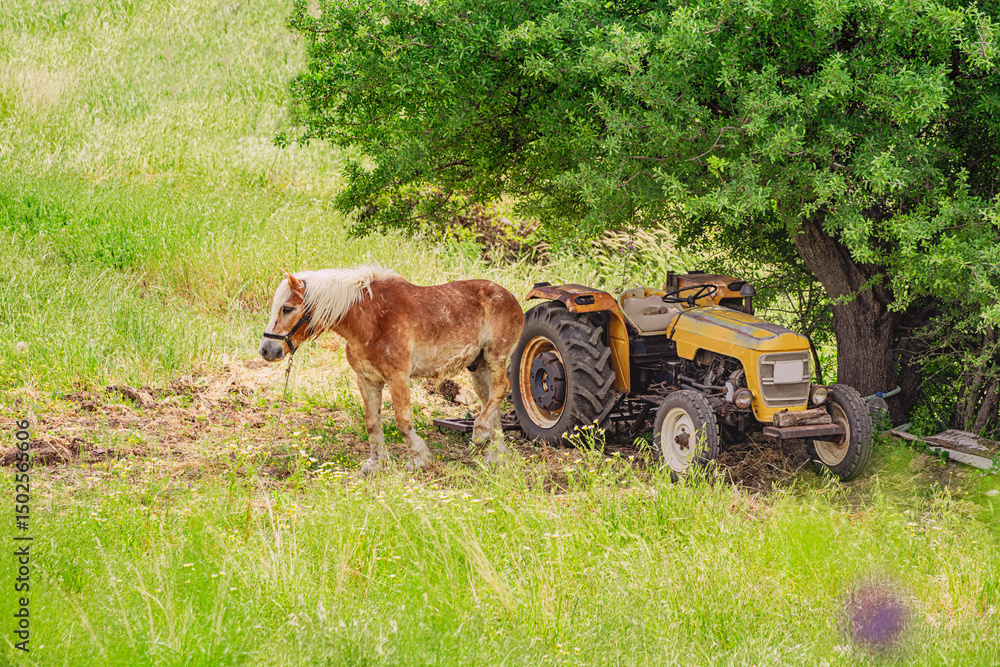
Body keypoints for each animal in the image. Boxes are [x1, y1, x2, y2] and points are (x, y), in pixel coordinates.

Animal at [259, 264, 525, 474]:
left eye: (287, 308)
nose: (266, 350)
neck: (371, 319)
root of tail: (511, 297)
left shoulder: (398, 377)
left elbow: (403, 422)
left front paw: (418, 459)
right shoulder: (367, 380)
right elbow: (372, 423)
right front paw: (377, 464)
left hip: (496, 357)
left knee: (502, 389)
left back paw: (479, 435)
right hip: (478, 367)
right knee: (492, 401)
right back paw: (497, 455)